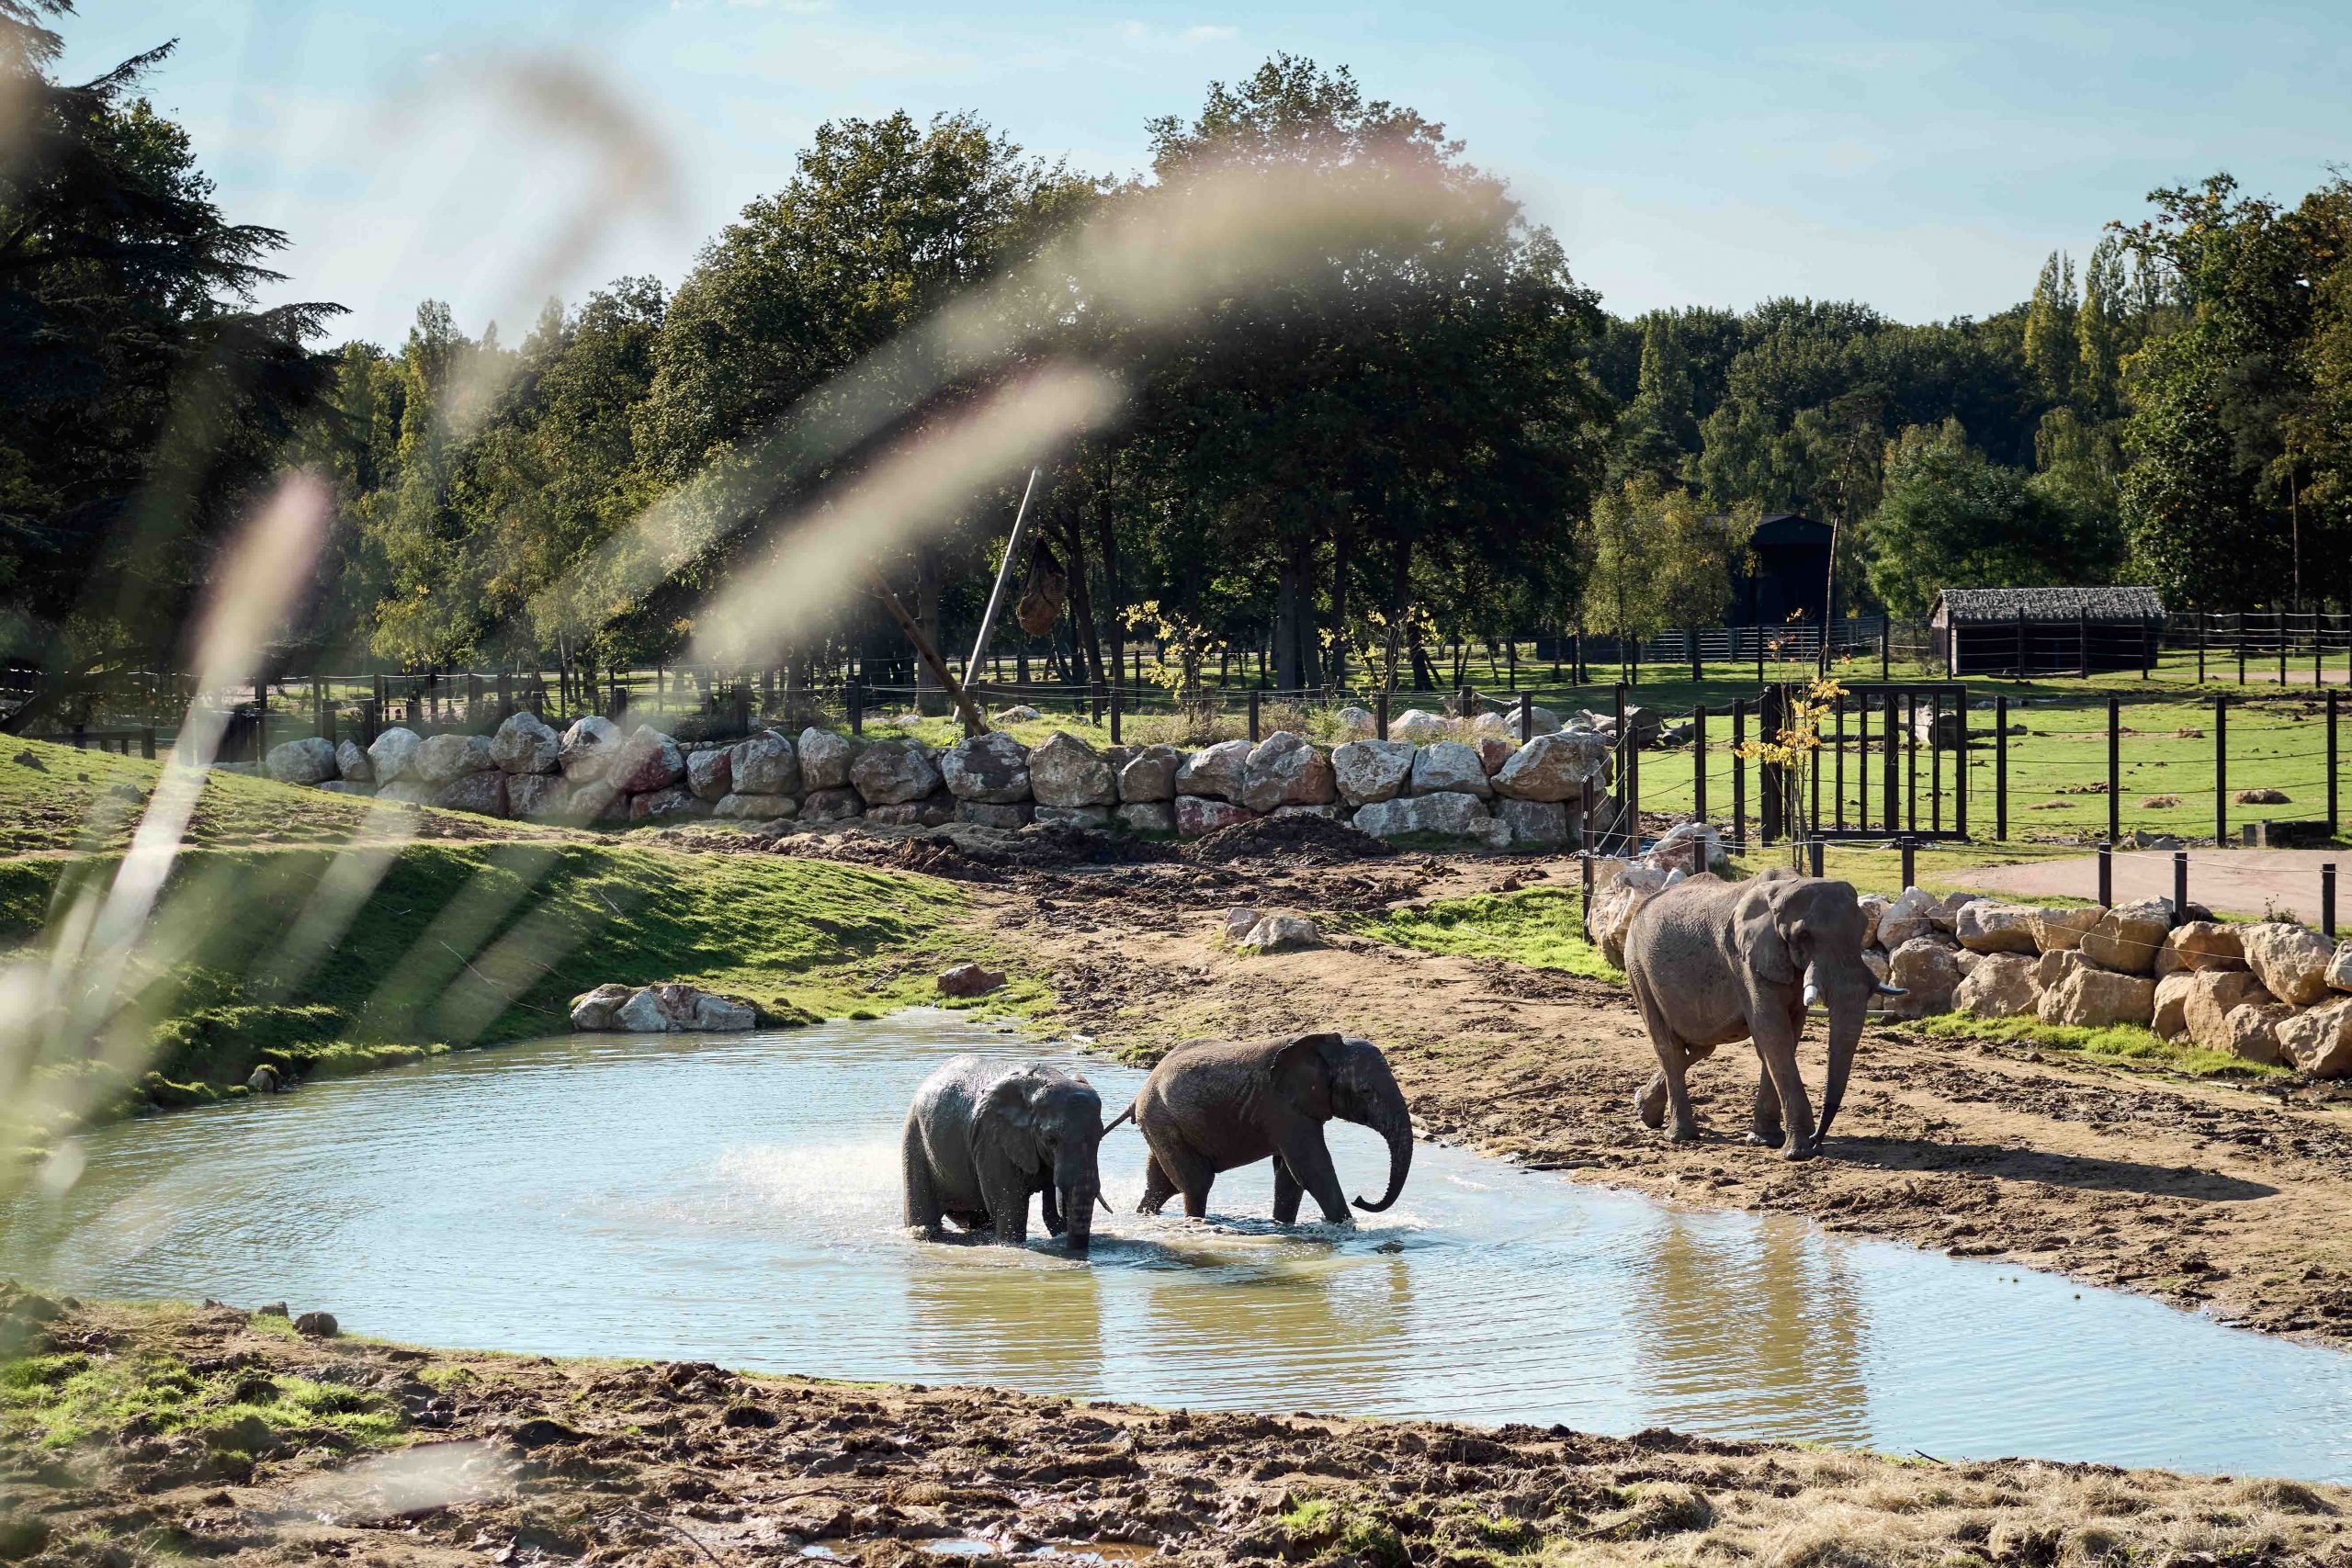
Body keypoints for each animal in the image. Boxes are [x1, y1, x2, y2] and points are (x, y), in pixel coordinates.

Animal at [908, 1062, 1110, 1259]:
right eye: (1051, 1140)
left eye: (1100, 1137)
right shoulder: (992, 1139)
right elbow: (1012, 1208)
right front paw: (1011, 1245)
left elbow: (1051, 1212)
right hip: (915, 1134)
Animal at [1105, 1034, 1411, 1232]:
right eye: (1365, 1091)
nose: (1360, 1199)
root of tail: (1138, 1094)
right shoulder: (1281, 1106)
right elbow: (1311, 1169)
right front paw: (1346, 1229)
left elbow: (1289, 1175)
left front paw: (1283, 1226)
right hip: (1162, 1119)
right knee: (1196, 1183)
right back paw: (1196, 1226)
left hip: (1163, 1123)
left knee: (1160, 1183)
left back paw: (1146, 1217)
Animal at [1627, 864, 1900, 1161]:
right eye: (1804, 936)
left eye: (1863, 929)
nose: (1817, 1140)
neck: (1787, 886)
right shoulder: (1744, 959)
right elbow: (1773, 1035)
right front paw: (1799, 1151)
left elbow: (1785, 1037)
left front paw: (1765, 1140)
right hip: (1638, 967)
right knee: (1669, 1046)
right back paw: (1681, 1136)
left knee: (1701, 1046)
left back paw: (1644, 1110)